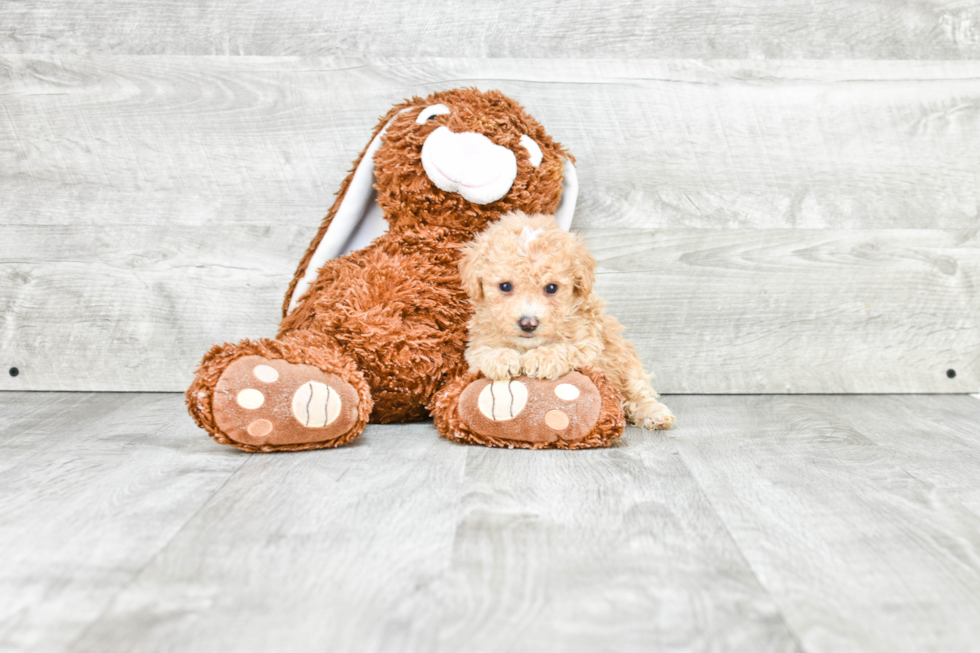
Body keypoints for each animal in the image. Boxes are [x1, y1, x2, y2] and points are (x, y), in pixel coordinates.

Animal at [458, 211, 672, 430]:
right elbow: (483, 352)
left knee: (636, 389)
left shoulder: (588, 343)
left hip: (625, 361)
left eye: (551, 288)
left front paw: (542, 358)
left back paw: (653, 413)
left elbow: (567, 348)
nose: (528, 323)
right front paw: (501, 358)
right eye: (505, 286)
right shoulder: (476, 346)